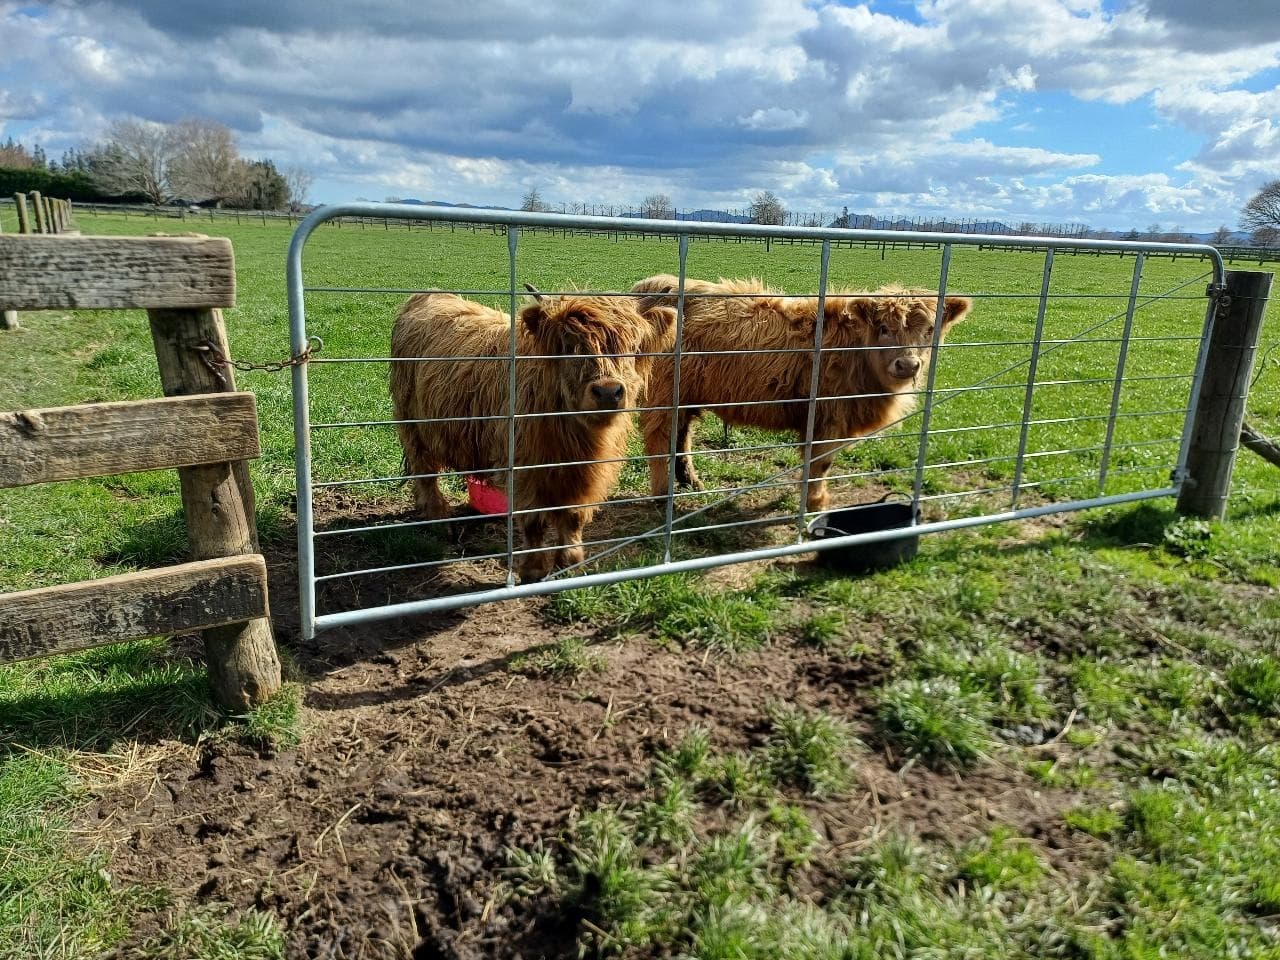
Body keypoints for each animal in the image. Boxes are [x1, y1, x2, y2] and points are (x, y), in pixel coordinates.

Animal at [390, 291, 677, 581]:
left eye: (635, 346)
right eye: (569, 346)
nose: (608, 392)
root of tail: (428, 295)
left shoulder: (588, 474)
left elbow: (573, 517)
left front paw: (570, 563)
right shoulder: (525, 470)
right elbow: (534, 522)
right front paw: (534, 569)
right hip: (412, 424)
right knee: (425, 472)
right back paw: (439, 518)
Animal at [631, 275, 971, 513]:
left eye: (929, 330)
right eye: (884, 329)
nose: (908, 364)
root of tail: (655, 286)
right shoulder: (828, 421)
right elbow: (820, 464)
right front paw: (815, 504)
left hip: (685, 396)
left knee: (681, 435)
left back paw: (691, 482)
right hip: (663, 395)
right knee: (660, 439)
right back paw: (662, 497)